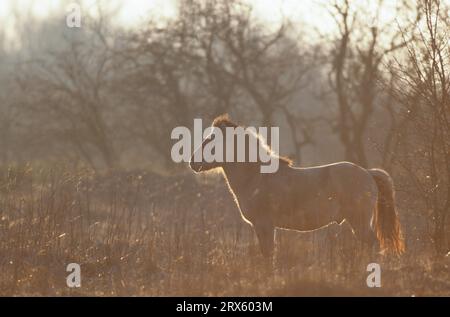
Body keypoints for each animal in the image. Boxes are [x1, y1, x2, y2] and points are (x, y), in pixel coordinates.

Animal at [188, 113, 406, 256]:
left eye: (212, 140)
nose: (192, 162)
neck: (256, 177)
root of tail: (368, 173)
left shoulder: (264, 224)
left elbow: (268, 256)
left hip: (359, 221)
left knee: (373, 245)